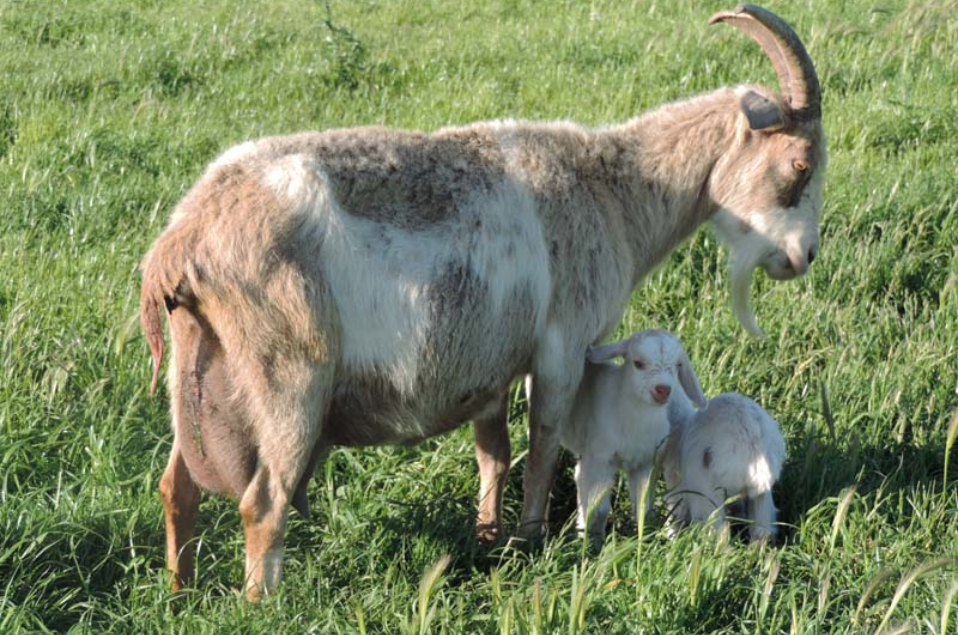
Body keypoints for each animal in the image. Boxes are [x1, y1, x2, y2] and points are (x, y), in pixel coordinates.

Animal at [559, 330, 707, 550]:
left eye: (678, 365)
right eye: (638, 363)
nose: (663, 389)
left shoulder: (644, 464)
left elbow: (643, 505)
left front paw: (642, 540)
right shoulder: (599, 459)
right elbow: (597, 508)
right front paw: (590, 544)